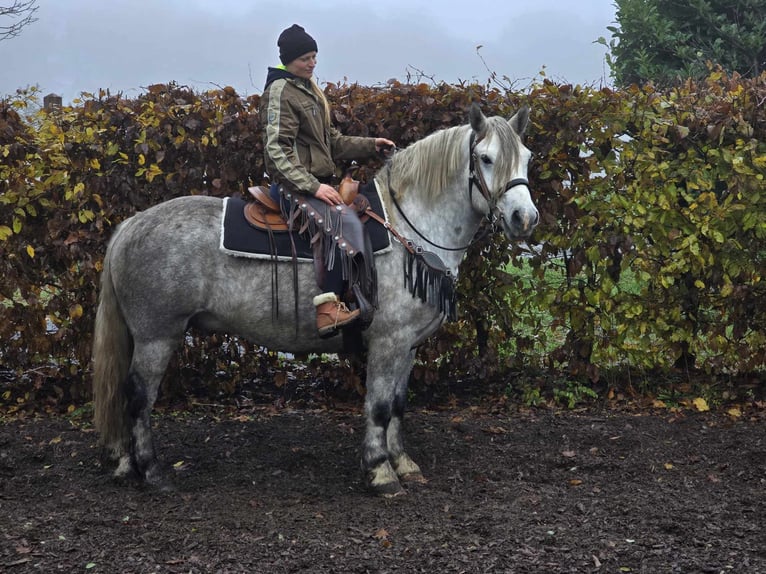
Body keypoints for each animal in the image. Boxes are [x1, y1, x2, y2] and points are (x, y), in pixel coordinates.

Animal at [93, 104, 540, 500]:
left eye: (527, 157)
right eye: (485, 158)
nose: (525, 218)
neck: (407, 228)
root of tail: (132, 224)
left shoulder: (408, 345)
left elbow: (398, 404)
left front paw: (403, 463)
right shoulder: (388, 341)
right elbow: (379, 407)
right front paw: (380, 472)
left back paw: (128, 465)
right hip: (157, 337)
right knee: (139, 397)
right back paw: (152, 472)